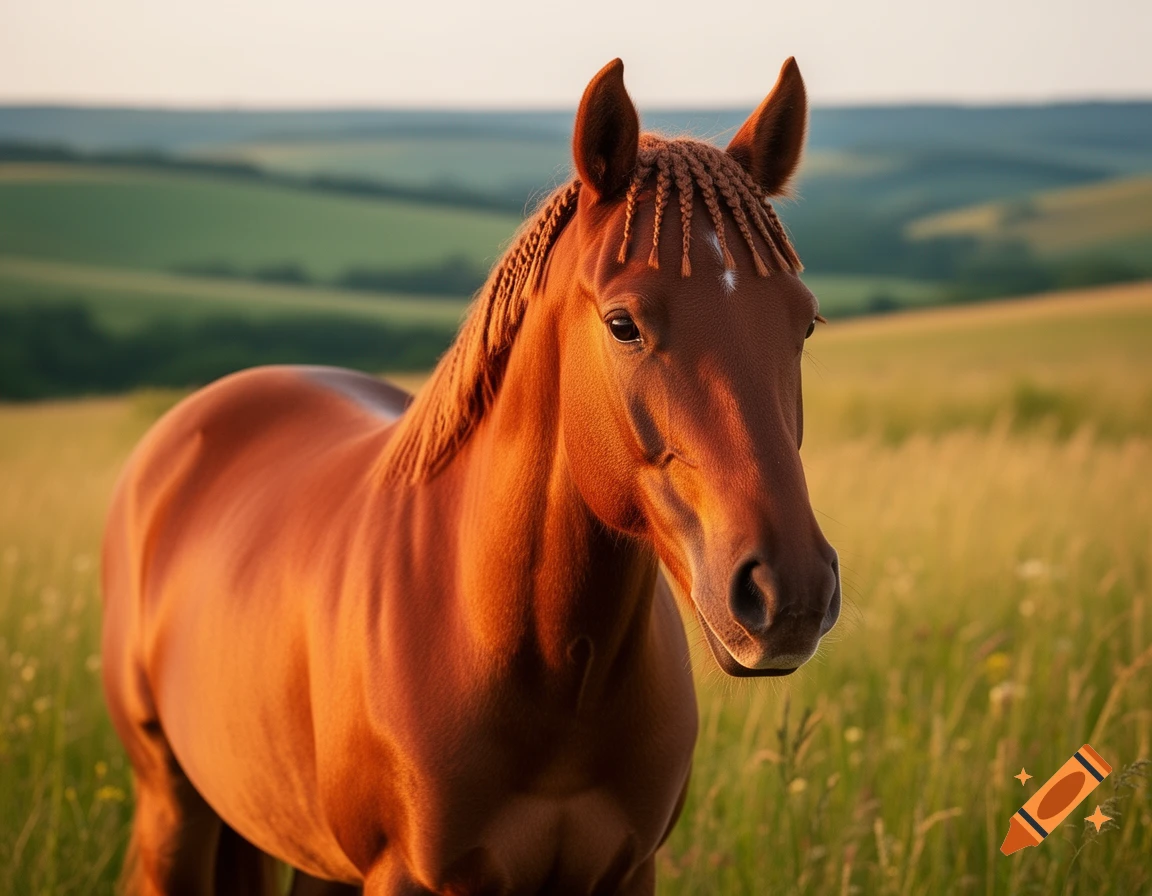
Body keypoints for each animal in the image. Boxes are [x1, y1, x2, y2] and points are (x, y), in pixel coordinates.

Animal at [101, 56, 841, 895]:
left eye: (804, 323)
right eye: (624, 324)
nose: (788, 593)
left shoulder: (628, 872)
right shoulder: (406, 876)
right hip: (175, 810)